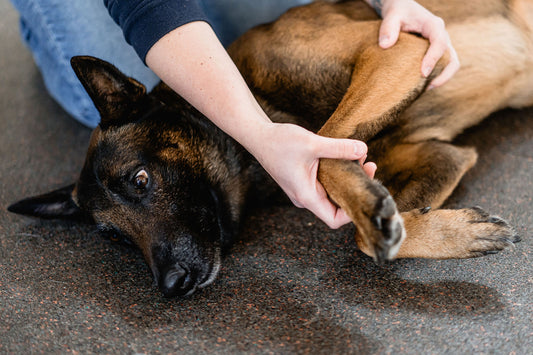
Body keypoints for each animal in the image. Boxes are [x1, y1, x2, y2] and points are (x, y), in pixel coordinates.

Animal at [8, 0, 528, 298]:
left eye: (141, 180)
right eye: (113, 237)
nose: (170, 286)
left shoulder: (399, 46)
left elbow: (326, 155)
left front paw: (370, 211)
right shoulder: (443, 154)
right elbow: (362, 229)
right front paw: (444, 231)